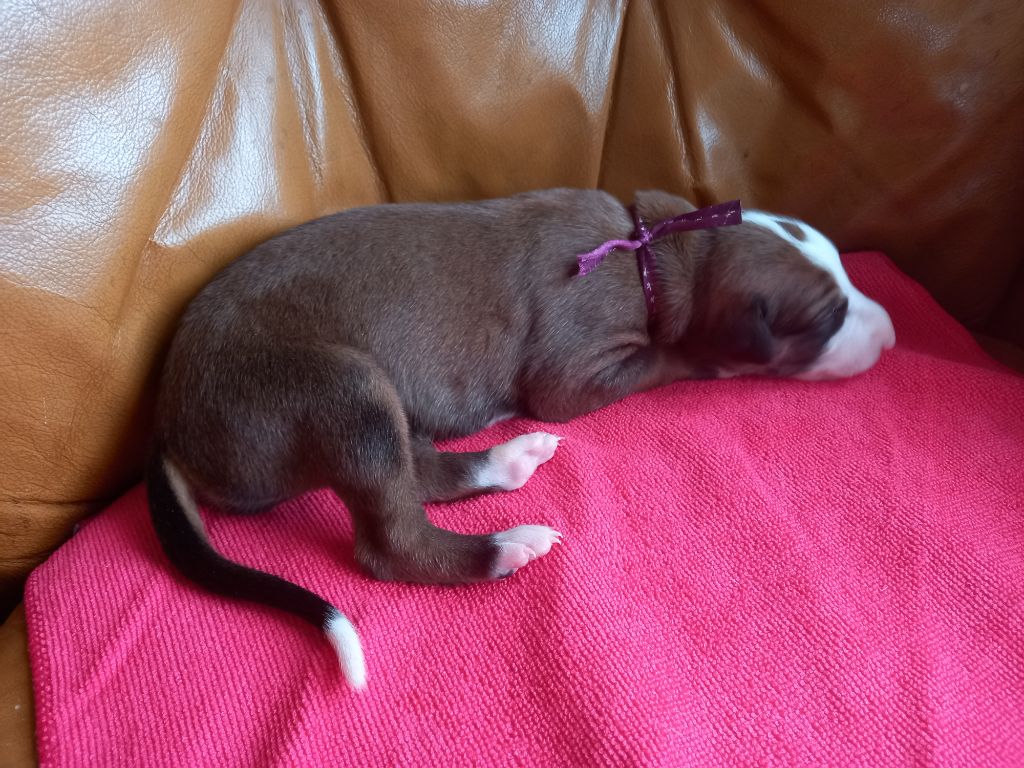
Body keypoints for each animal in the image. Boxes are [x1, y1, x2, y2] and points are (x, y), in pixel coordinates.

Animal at [147, 188, 895, 689]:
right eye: (827, 318)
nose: (891, 335)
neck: (655, 250)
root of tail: (170, 427)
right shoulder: (575, 373)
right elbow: (673, 358)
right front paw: (709, 360)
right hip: (342, 386)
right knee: (393, 540)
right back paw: (503, 548)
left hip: (386, 397)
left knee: (421, 471)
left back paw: (511, 460)